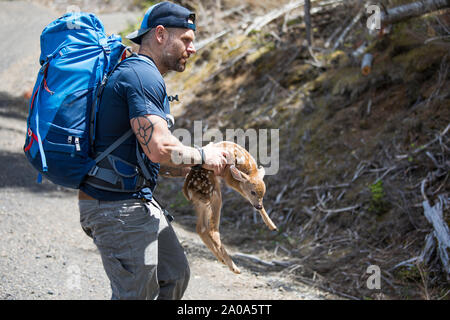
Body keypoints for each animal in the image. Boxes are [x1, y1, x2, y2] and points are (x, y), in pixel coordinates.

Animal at [181, 141, 276, 274]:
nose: (258, 205)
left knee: (200, 228)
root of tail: (187, 190)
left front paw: (272, 226)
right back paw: (234, 267)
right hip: (213, 192)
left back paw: (223, 261)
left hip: (201, 201)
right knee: (212, 230)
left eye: (264, 193)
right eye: (252, 192)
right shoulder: (231, 180)